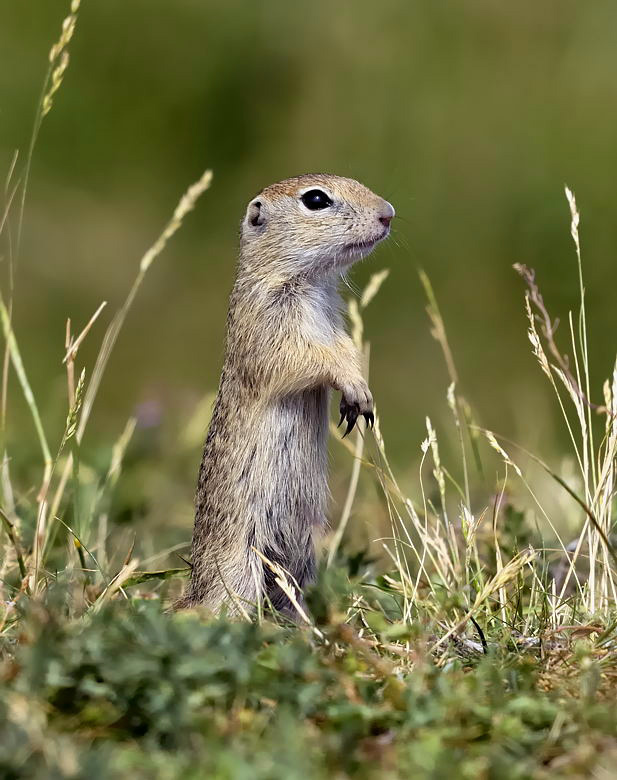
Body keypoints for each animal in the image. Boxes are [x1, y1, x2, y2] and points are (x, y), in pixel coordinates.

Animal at [180, 172, 398, 616]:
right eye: (315, 200)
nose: (388, 214)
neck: (311, 283)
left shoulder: (334, 321)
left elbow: (344, 345)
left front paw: (360, 395)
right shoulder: (271, 323)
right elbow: (307, 358)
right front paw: (353, 386)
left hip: (300, 561)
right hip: (239, 565)